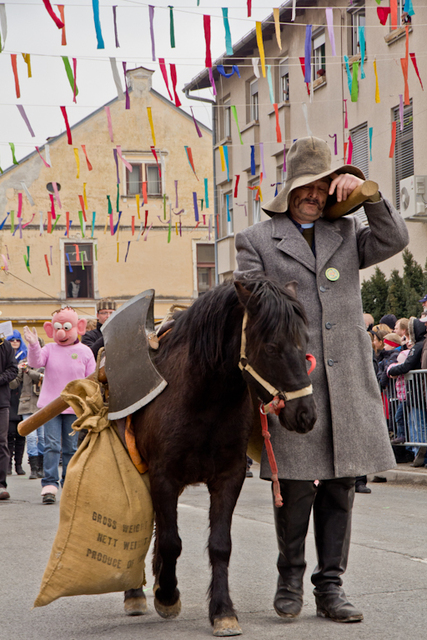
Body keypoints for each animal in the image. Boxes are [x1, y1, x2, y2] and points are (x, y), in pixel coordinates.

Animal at [129, 276, 316, 636]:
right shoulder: (162, 477)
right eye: (271, 347)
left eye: (304, 344)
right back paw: (136, 593)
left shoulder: (228, 477)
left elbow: (219, 545)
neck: (203, 399)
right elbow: (171, 541)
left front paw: (222, 610)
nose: (306, 415)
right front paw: (167, 595)